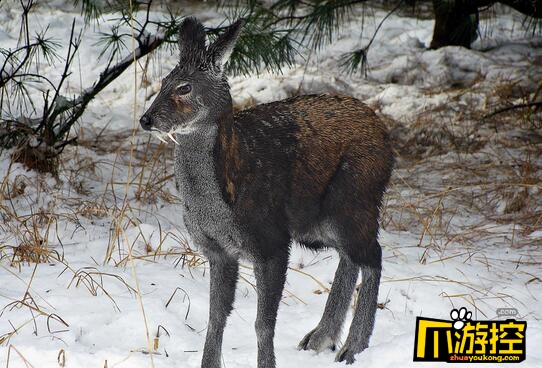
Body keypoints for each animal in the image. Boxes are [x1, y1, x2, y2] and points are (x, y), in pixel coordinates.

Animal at [140, 17, 396, 368]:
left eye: (184, 88)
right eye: (164, 81)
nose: (146, 119)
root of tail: (385, 135)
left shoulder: (272, 242)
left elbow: (263, 322)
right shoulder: (217, 250)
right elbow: (215, 317)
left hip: (354, 198)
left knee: (373, 255)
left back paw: (352, 348)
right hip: (315, 223)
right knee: (352, 255)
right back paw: (321, 337)